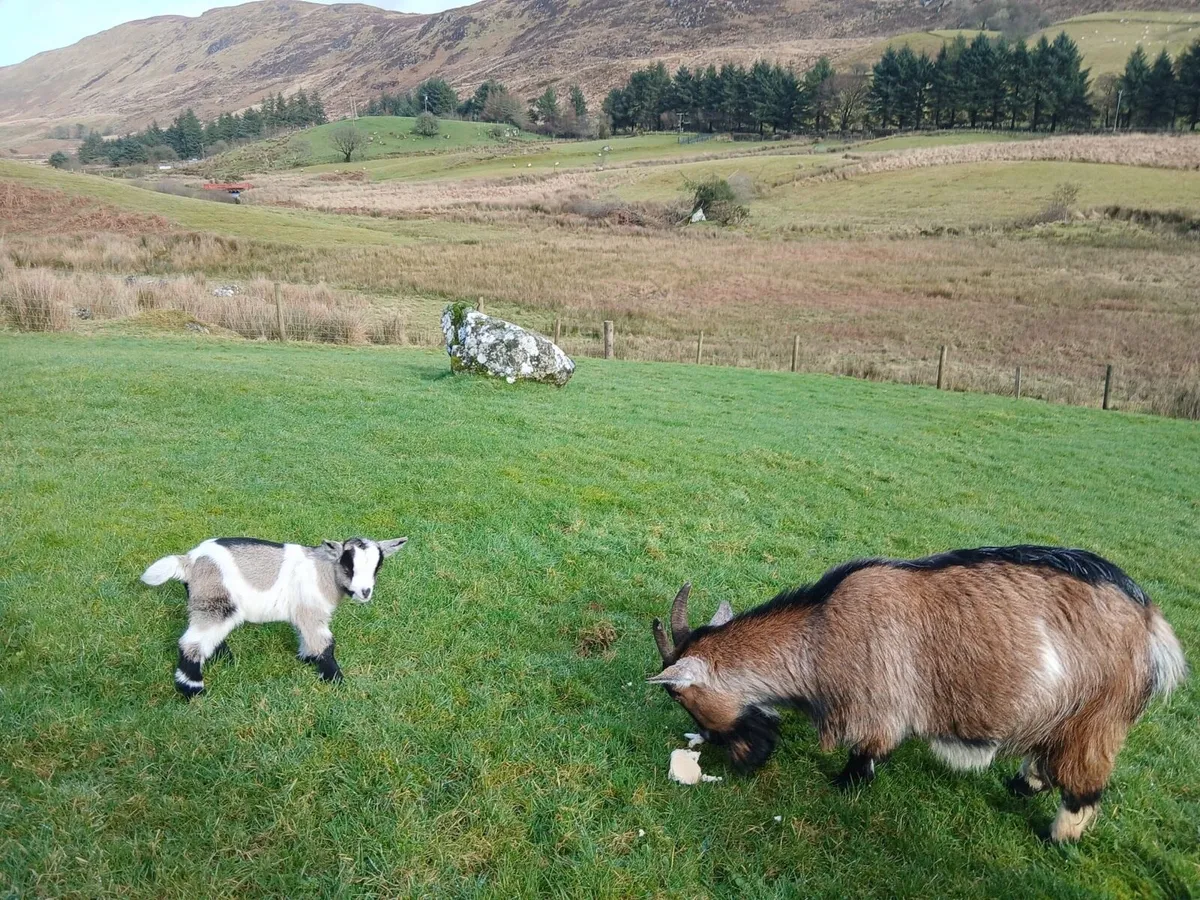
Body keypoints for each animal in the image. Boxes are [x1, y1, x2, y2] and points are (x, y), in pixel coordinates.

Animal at [142, 535, 408, 698]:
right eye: (348, 566)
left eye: (377, 567)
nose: (365, 592)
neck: (323, 572)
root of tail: (189, 561)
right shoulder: (311, 611)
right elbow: (325, 643)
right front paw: (335, 680)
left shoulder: (302, 611)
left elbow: (306, 636)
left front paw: (307, 659)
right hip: (216, 600)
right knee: (192, 641)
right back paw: (192, 688)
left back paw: (224, 658)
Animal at [649, 546, 1187, 842]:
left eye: (681, 697)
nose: (746, 761)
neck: (819, 633)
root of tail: (1151, 625)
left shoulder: (877, 707)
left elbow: (865, 755)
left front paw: (841, 787)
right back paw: (1022, 783)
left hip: (1098, 714)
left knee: (1085, 783)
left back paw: (1055, 836)